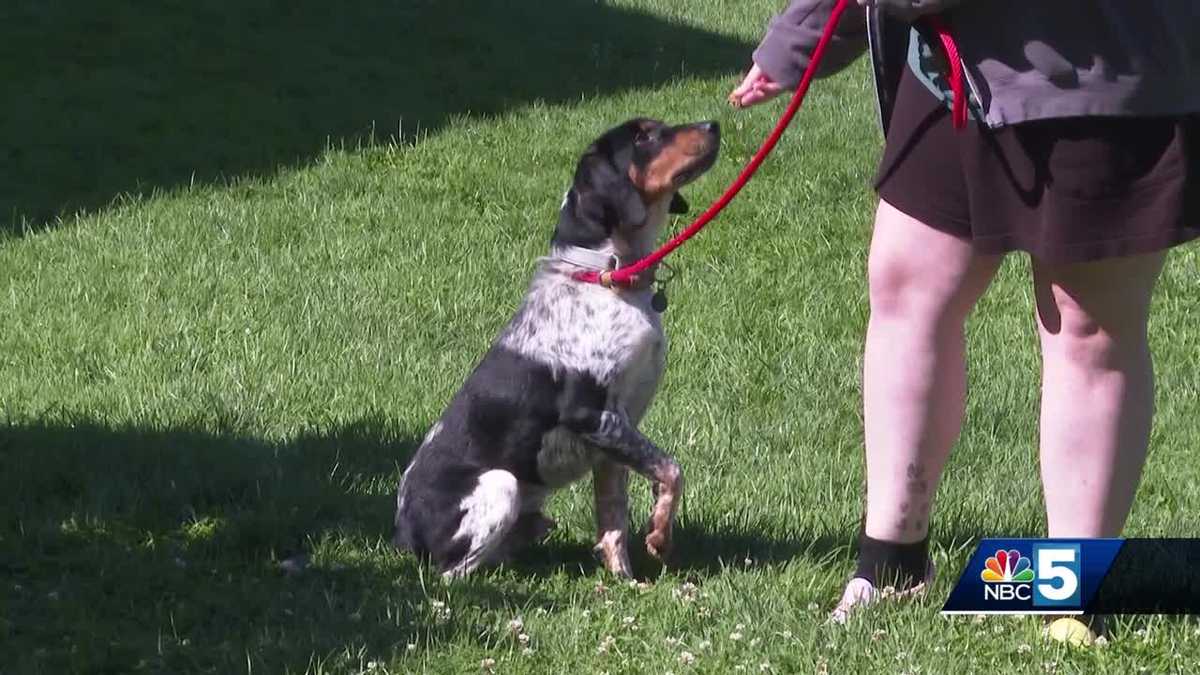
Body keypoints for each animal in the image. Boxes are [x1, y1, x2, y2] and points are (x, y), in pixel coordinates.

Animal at [393, 118, 715, 576]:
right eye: (644, 136)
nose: (714, 124)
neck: (606, 277)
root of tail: (403, 535)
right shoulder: (593, 416)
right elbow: (672, 469)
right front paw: (659, 536)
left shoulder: (616, 436)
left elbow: (614, 520)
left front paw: (626, 581)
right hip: (502, 485)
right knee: (452, 574)